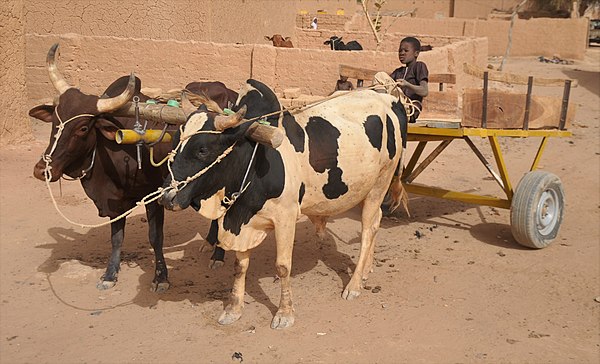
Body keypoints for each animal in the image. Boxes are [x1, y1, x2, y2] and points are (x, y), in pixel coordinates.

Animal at [158, 80, 408, 330]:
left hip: (380, 183)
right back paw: (366, 270)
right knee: (375, 223)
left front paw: (284, 313)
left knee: (368, 230)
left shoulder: (285, 217)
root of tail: (389, 100)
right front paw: (233, 309)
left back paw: (354, 285)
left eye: (202, 149)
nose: (166, 197)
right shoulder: (242, 218)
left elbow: (283, 266)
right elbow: (240, 266)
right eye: (175, 143)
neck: (255, 159)